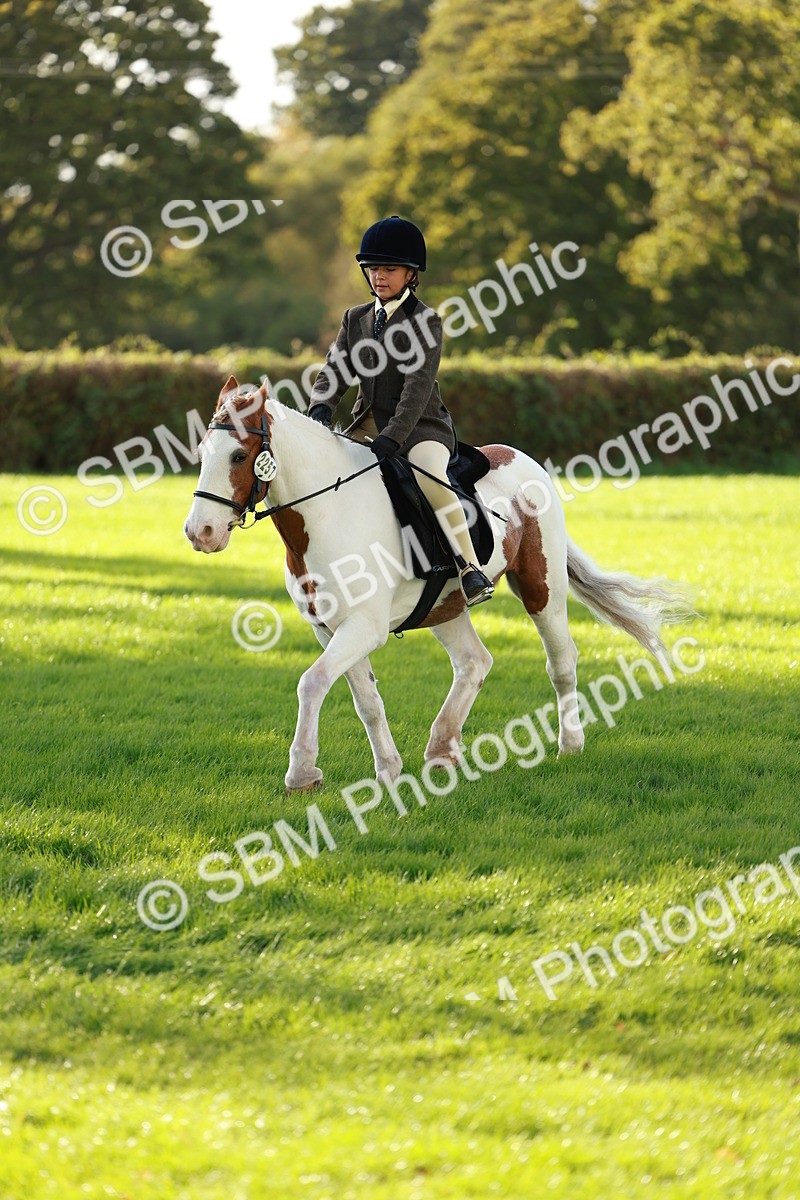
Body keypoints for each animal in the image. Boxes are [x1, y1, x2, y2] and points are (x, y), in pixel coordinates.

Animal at [184, 376, 689, 794]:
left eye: (238, 455)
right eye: (203, 454)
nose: (199, 533)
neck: (326, 511)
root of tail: (525, 460)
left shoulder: (362, 627)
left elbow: (312, 683)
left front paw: (302, 774)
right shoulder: (329, 629)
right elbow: (366, 700)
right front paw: (388, 770)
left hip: (541, 588)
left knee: (561, 662)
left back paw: (570, 745)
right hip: (446, 606)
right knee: (474, 662)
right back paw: (442, 750)